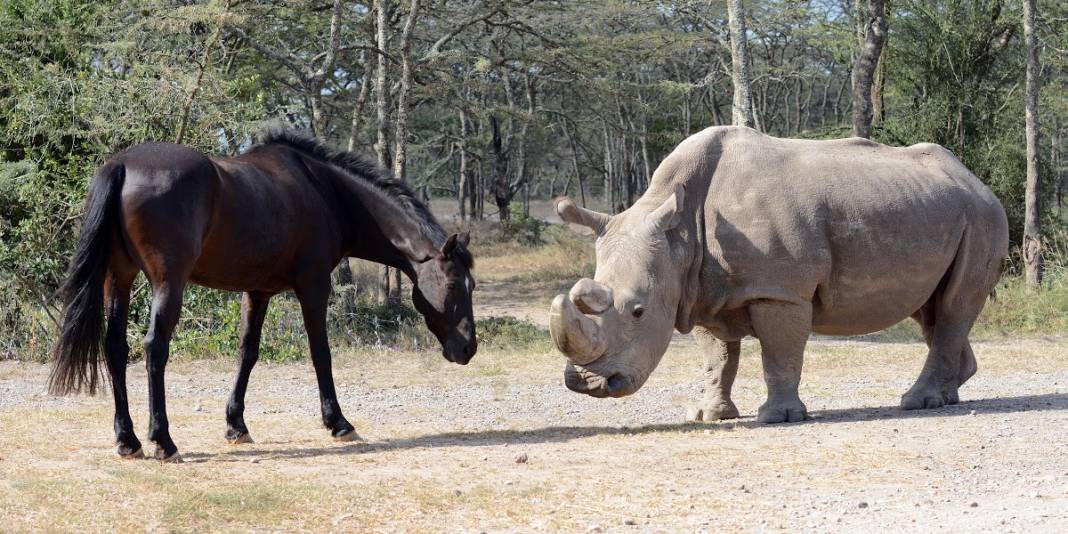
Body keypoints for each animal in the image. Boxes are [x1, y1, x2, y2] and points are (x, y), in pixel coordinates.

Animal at [50, 127, 476, 461]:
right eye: (455, 284)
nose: (468, 348)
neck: (325, 191)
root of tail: (122, 165)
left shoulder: (258, 291)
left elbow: (248, 353)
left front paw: (236, 424)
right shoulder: (314, 285)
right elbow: (320, 352)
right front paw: (338, 422)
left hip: (118, 279)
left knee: (115, 348)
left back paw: (128, 440)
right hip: (168, 283)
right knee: (155, 348)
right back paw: (164, 441)